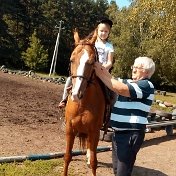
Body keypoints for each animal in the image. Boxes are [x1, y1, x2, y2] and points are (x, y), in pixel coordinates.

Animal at [63, 29, 106, 176]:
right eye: (71, 60)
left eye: (92, 62)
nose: (76, 94)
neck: (82, 105)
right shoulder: (70, 129)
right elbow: (67, 157)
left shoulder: (94, 131)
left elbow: (94, 162)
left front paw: (90, 160)